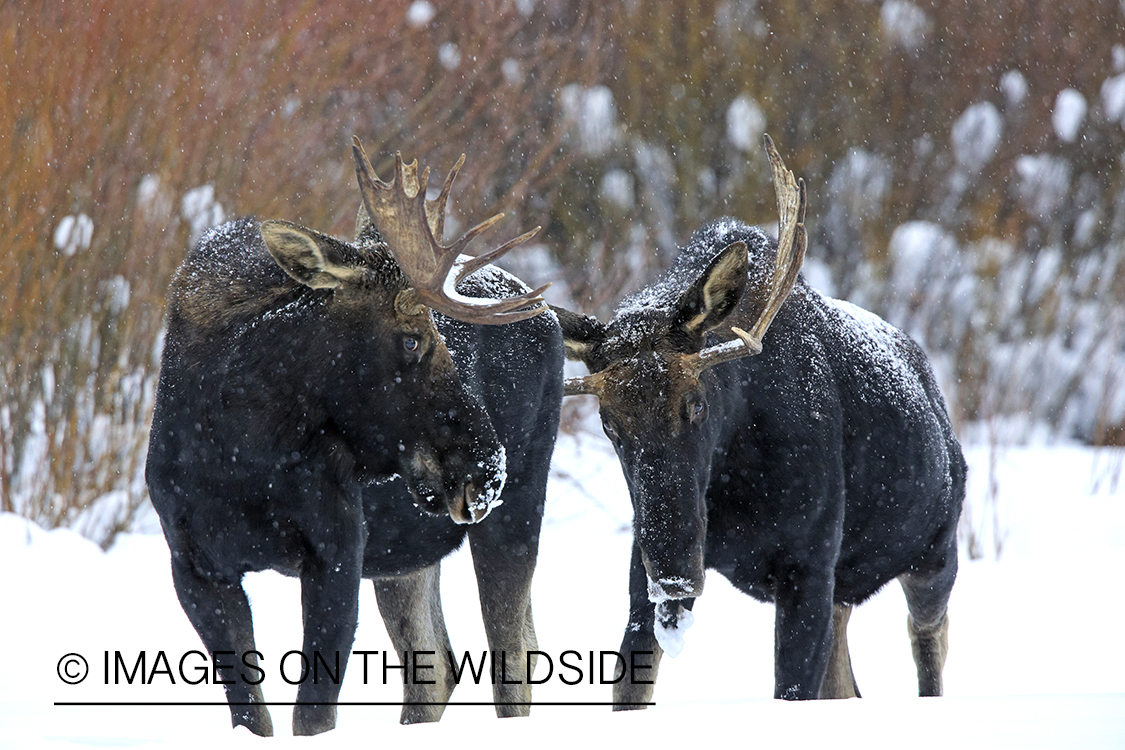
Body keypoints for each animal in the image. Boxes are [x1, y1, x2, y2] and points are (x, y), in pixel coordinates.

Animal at [147, 137, 562, 737]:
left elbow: (312, 715)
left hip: (517, 511)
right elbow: (253, 716)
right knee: (438, 668)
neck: (241, 447)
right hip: (406, 552)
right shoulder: (196, 566)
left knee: (514, 663)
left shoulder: (338, 549)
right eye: (411, 338)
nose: (485, 466)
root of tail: (549, 314)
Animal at [553, 137, 967, 706]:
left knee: (929, 645)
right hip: (848, 589)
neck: (735, 485)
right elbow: (628, 690)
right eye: (608, 425)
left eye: (696, 404)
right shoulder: (643, 568)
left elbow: (791, 689)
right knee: (848, 683)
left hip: (935, 553)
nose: (675, 575)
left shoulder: (810, 564)